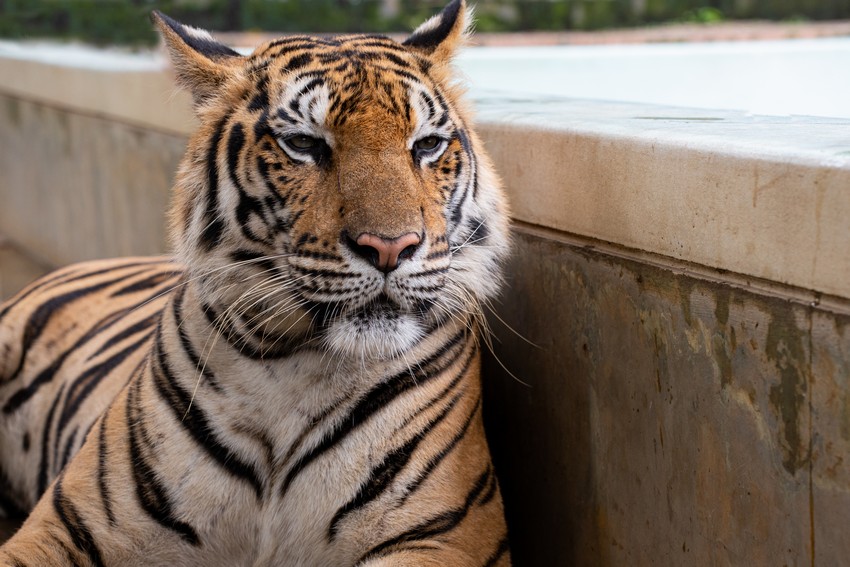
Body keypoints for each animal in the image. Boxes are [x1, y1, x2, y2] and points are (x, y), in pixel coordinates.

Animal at [0, 1, 510, 564]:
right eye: (304, 144)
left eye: (427, 145)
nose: (391, 247)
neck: (293, 369)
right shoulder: (67, 524)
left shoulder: (443, 535)